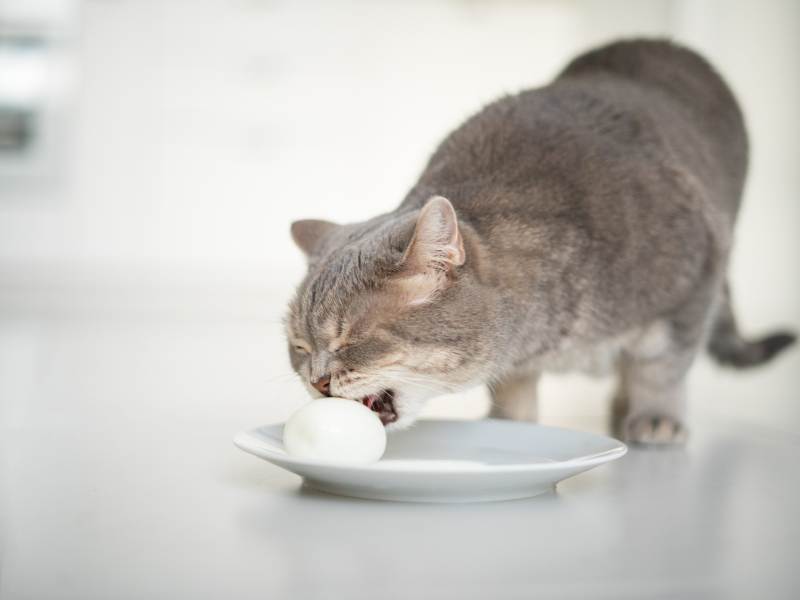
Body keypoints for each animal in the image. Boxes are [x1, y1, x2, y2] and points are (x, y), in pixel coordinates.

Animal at [282, 36, 792, 440]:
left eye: (353, 339)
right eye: (300, 348)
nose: (317, 382)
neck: (550, 337)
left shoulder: (695, 281)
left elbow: (662, 367)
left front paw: (656, 416)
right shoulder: (519, 362)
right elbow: (514, 390)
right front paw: (509, 426)